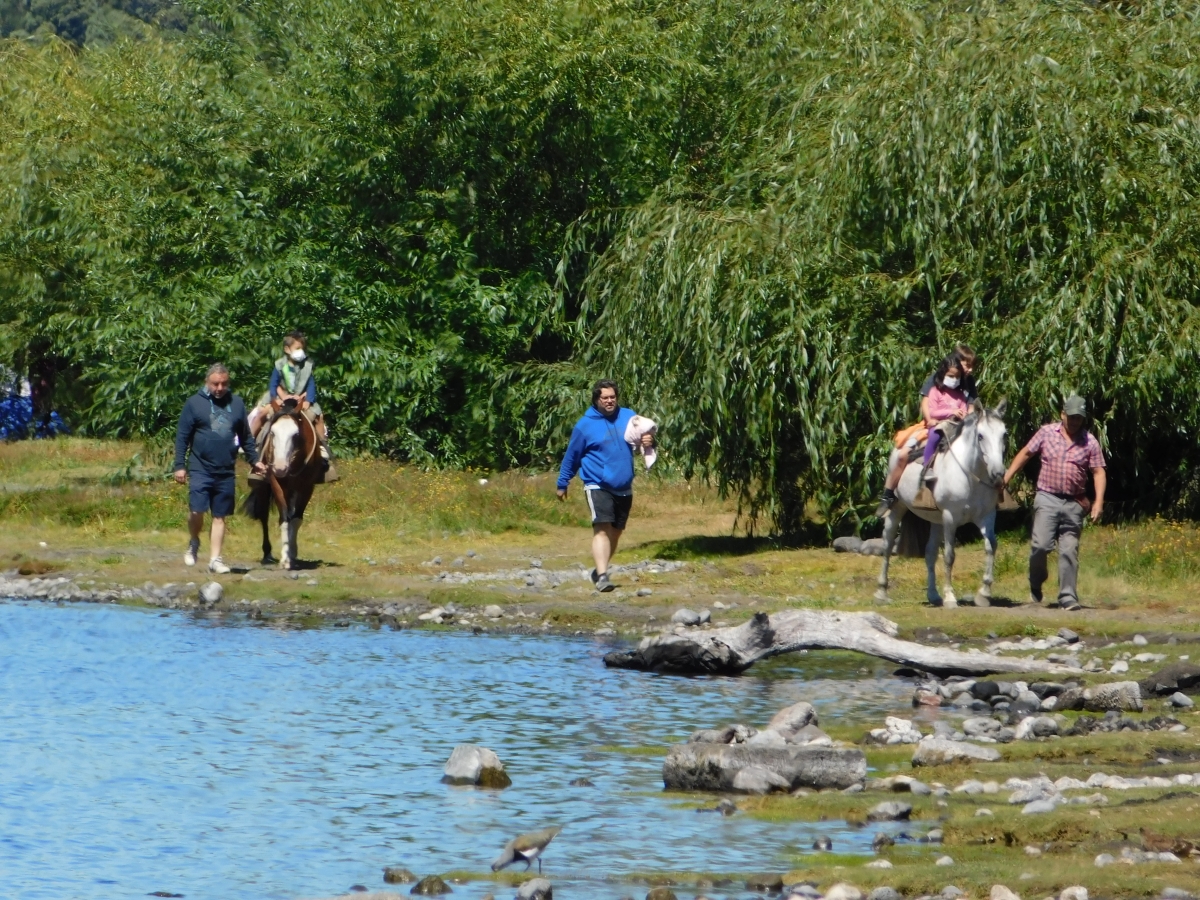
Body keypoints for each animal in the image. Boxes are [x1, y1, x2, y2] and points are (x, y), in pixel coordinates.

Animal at [242, 403, 324, 571]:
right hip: (264, 487)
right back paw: (267, 554)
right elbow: (285, 519)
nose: (279, 468)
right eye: (272, 433)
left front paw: (292, 554)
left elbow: (296, 520)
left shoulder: (307, 488)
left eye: (296, 434)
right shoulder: (277, 486)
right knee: (264, 516)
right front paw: (285, 559)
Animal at [878, 403, 1008, 609]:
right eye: (980, 436)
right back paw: (882, 592)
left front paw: (984, 593)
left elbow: (991, 546)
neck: (970, 475)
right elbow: (949, 555)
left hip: (936, 521)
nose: (998, 473)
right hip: (897, 509)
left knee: (930, 553)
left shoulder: (987, 516)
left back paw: (933, 595)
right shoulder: (950, 518)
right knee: (887, 545)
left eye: (1004, 434)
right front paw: (950, 597)